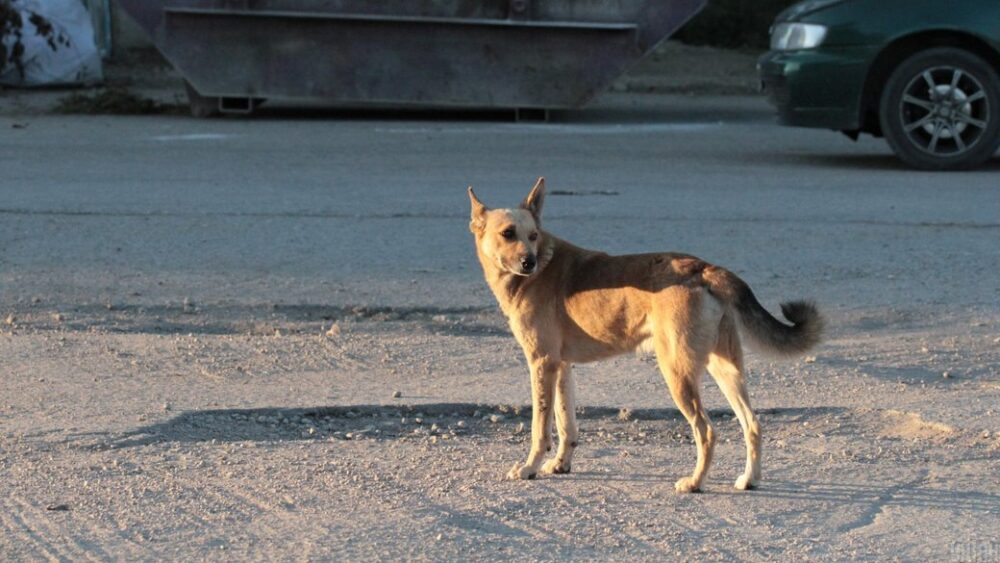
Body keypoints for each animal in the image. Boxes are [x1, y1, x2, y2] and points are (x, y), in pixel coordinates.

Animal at [466, 177, 820, 494]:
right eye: (508, 233)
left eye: (533, 236)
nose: (529, 262)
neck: (540, 268)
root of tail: (705, 269)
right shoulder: (561, 367)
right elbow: (567, 425)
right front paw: (561, 464)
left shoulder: (541, 364)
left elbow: (540, 430)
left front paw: (529, 468)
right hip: (725, 370)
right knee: (752, 424)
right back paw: (750, 479)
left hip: (677, 374)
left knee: (707, 432)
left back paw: (695, 483)